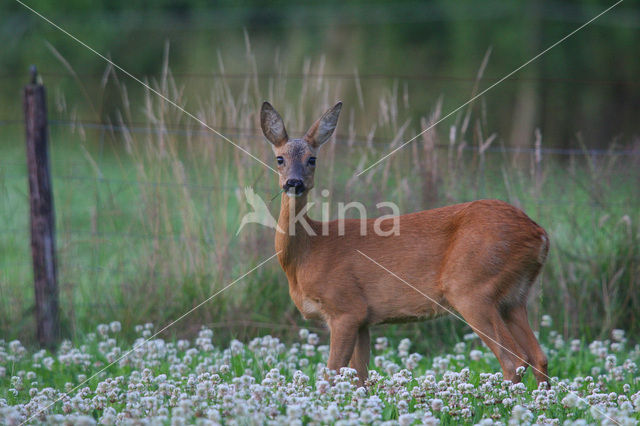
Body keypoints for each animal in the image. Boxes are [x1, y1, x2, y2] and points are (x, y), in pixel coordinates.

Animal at [260, 100, 552, 386]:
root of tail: (540, 234)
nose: (294, 182)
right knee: (539, 357)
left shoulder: (346, 307)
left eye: (312, 159)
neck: (308, 252)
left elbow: (332, 375)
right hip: (515, 297)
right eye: (279, 158)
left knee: (514, 359)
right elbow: (359, 378)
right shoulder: (363, 319)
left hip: (473, 287)